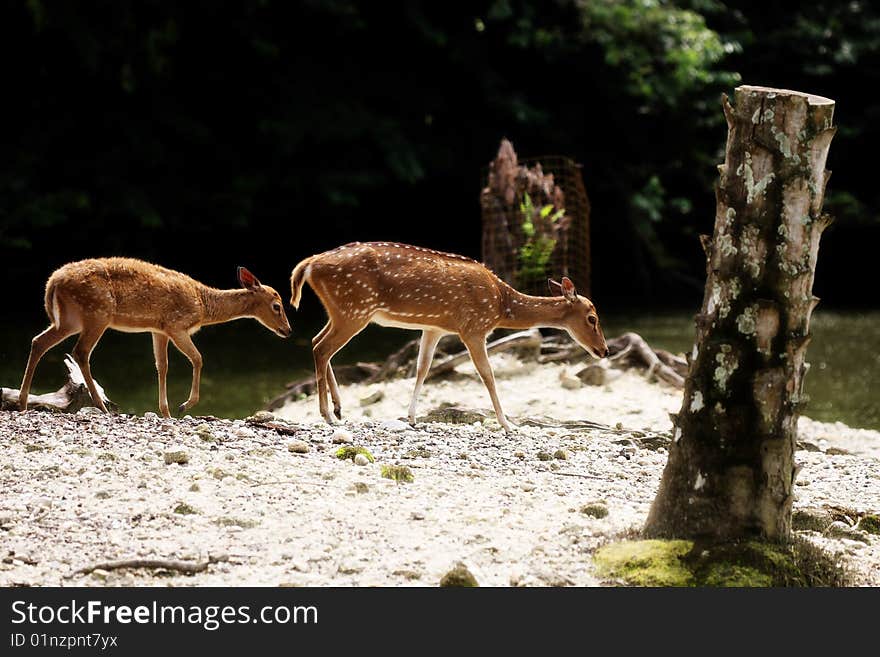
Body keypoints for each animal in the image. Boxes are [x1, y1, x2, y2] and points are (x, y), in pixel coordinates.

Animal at [19, 256, 292, 416]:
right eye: (277, 306)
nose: (288, 330)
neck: (203, 306)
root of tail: (52, 283)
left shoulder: (158, 329)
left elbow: (162, 366)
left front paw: (166, 412)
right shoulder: (176, 324)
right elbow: (198, 358)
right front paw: (184, 406)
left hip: (70, 319)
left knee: (38, 341)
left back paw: (22, 403)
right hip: (96, 313)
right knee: (80, 351)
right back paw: (101, 405)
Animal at [292, 241, 608, 430]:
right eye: (592, 318)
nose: (604, 350)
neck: (500, 305)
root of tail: (308, 265)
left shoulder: (435, 328)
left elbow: (422, 369)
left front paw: (411, 417)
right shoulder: (474, 328)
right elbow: (488, 375)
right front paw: (508, 424)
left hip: (341, 311)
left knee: (316, 341)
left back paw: (339, 407)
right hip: (355, 309)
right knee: (322, 348)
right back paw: (327, 414)